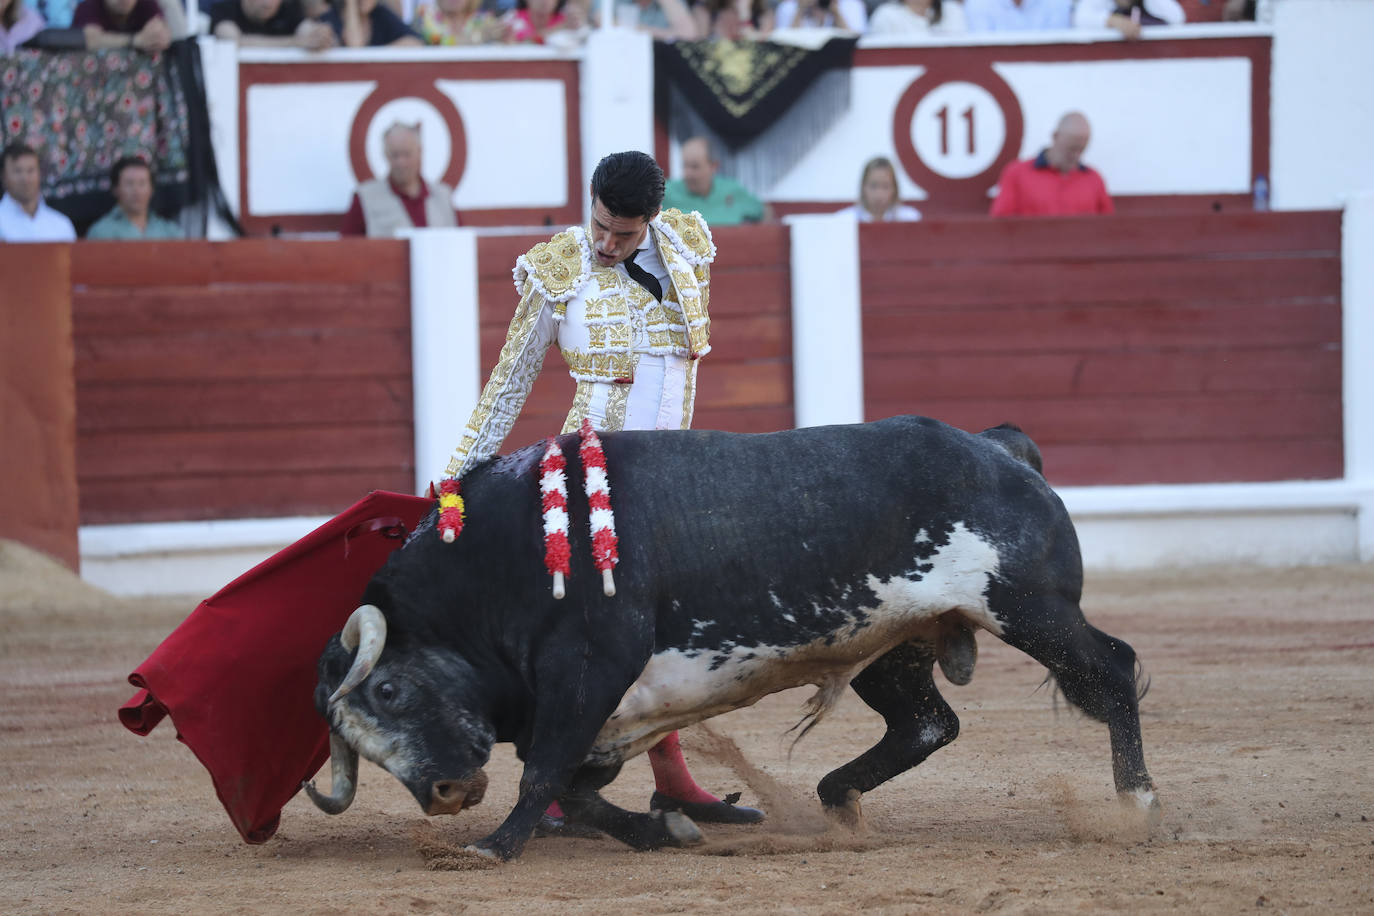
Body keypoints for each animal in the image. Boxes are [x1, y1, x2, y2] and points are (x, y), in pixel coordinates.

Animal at [306, 420, 1154, 862]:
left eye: (388, 689)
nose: (443, 794)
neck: (499, 560)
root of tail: (997, 446)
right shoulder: (607, 711)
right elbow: (576, 790)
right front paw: (664, 827)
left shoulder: (590, 669)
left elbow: (543, 771)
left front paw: (496, 844)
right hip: (894, 643)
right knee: (927, 723)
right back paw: (836, 800)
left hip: (1032, 608)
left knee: (1112, 670)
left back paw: (1137, 801)